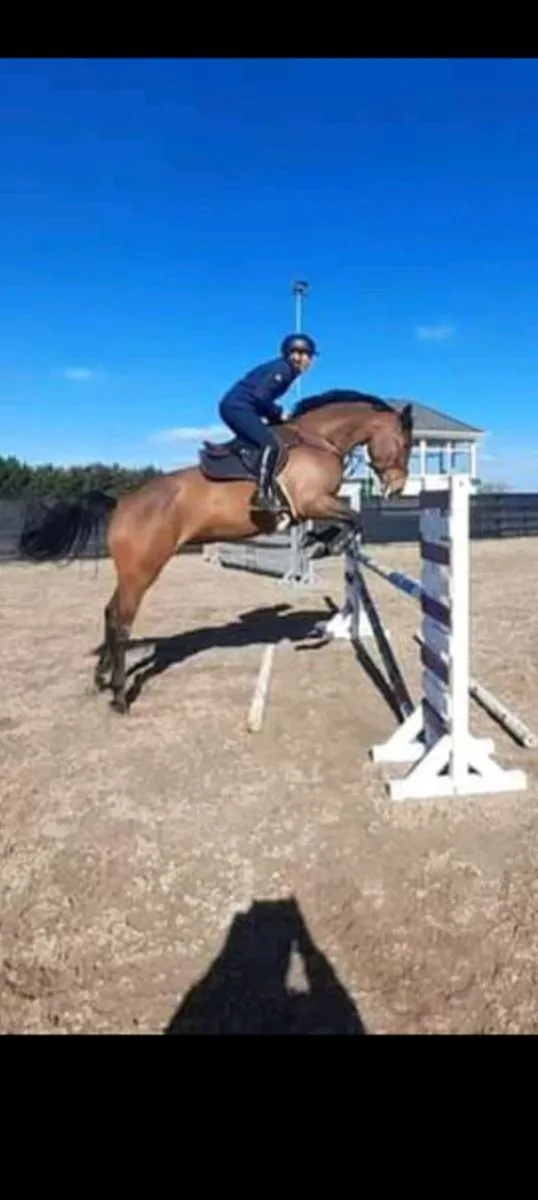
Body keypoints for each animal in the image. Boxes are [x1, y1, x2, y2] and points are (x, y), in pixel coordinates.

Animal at [18, 388, 413, 713]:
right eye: (406, 444)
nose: (396, 489)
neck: (321, 440)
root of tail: (122, 503)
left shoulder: (309, 507)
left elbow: (342, 523)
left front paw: (320, 543)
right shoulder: (311, 501)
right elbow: (352, 520)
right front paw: (329, 543)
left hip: (130, 572)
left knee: (109, 614)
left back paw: (100, 680)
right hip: (143, 569)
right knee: (121, 620)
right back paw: (119, 696)